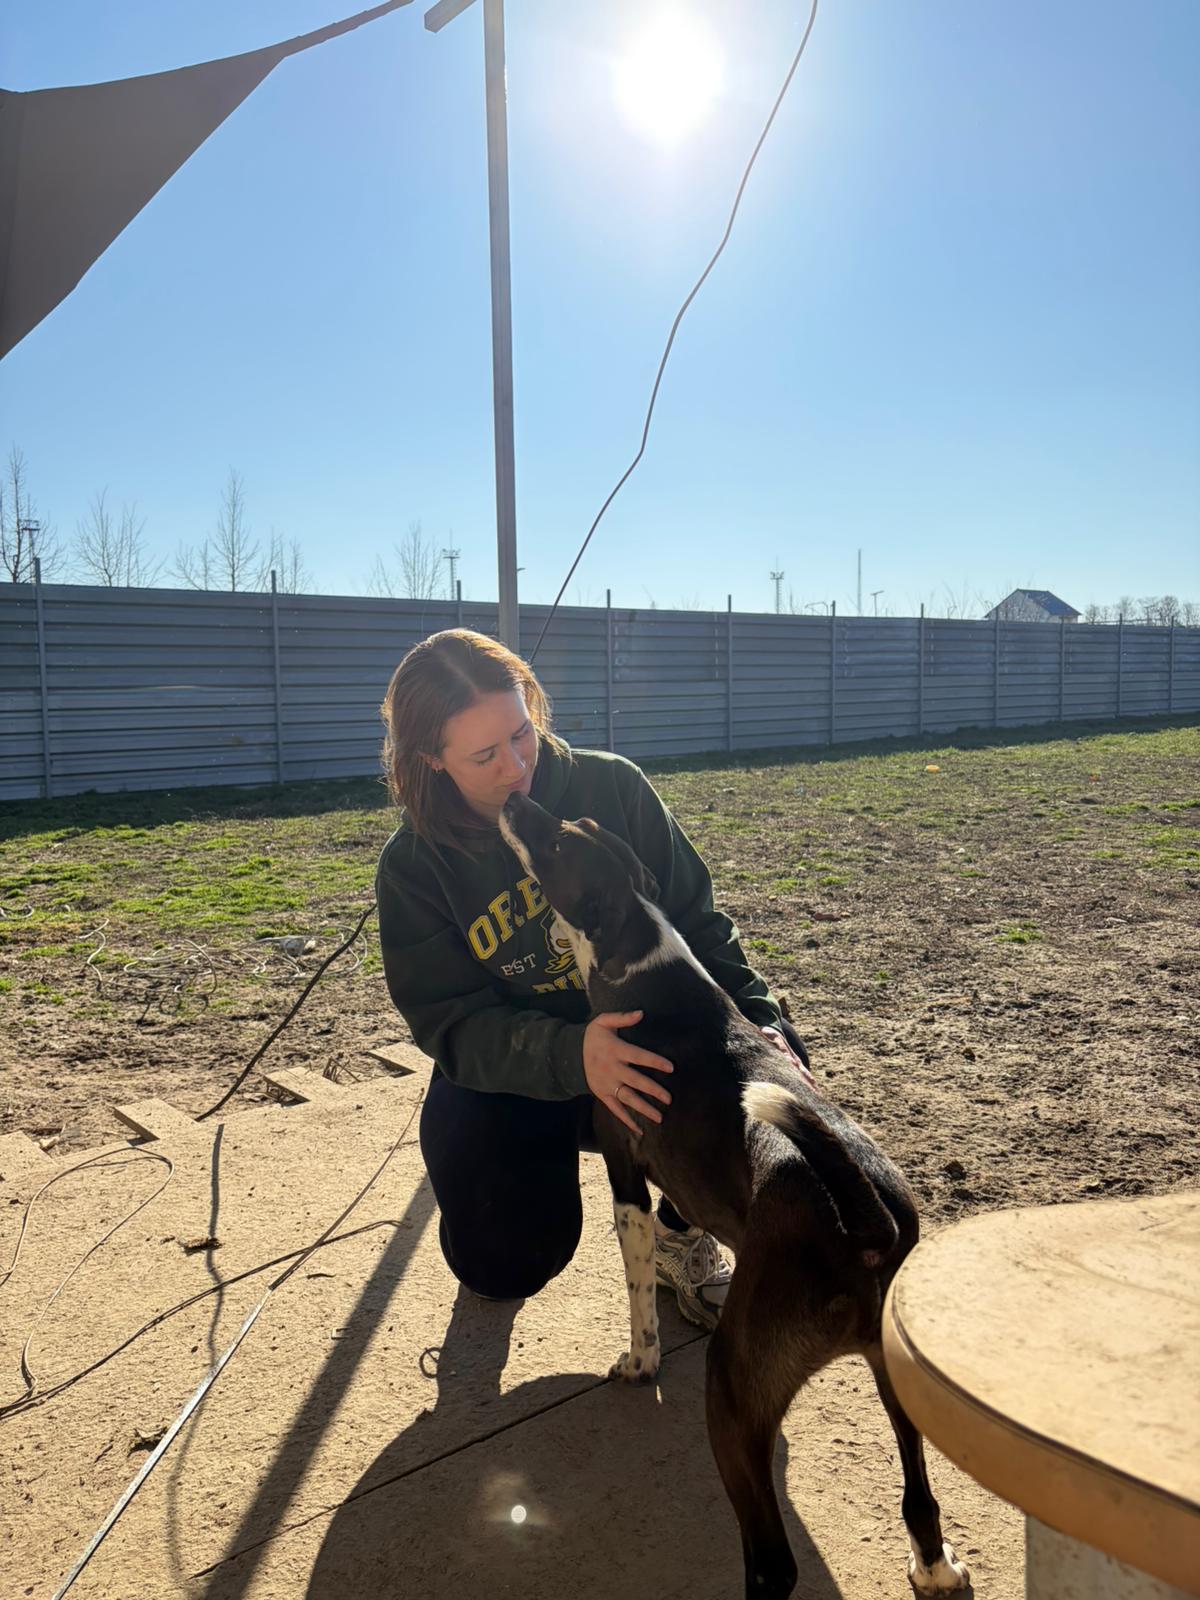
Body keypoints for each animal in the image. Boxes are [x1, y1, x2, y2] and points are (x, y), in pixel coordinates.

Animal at [499, 792, 970, 1600]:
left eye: (556, 841)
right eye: (570, 825)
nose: (510, 799)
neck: (638, 950)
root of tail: (865, 1223)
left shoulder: (625, 1175)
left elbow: (637, 1287)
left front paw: (640, 1361)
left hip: (732, 1386)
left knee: (773, 1563)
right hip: (893, 1369)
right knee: (920, 1497)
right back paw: (934, 1569)